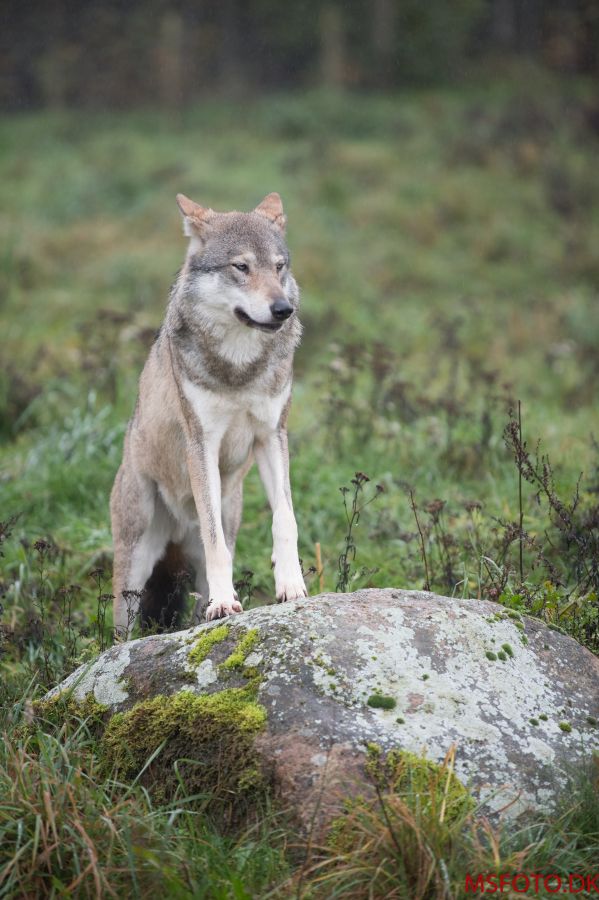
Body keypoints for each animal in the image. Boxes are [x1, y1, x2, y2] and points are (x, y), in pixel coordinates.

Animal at [112, 192, 308, 636]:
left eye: (278, 266)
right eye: (241, 267)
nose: (283, 309)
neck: (239, 368)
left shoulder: (272, 435)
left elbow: (285, 519)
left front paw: (291, 587)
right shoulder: (202, 444)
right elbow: (213, 535)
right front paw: (224, 605)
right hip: (133, 567)